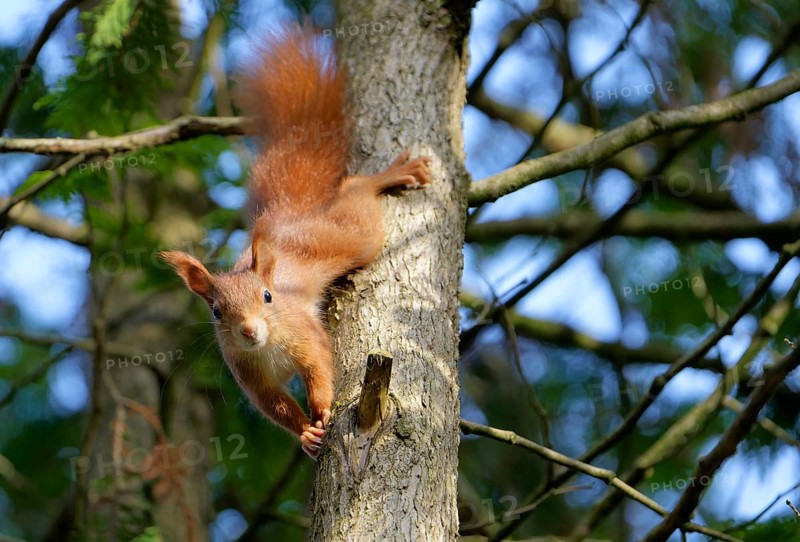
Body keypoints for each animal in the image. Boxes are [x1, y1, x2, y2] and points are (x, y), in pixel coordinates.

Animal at [160, 25, 431, 457]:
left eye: (268, 296)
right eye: (217, 311)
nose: (248, 331)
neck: (266, 346)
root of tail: (289, 217)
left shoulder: (305, 333)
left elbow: (319, 365)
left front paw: (321, 408)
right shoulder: (248, 375)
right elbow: (274, 406)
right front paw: (305, 433)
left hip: (347, 236)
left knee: (356, 194)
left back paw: (388, 175)